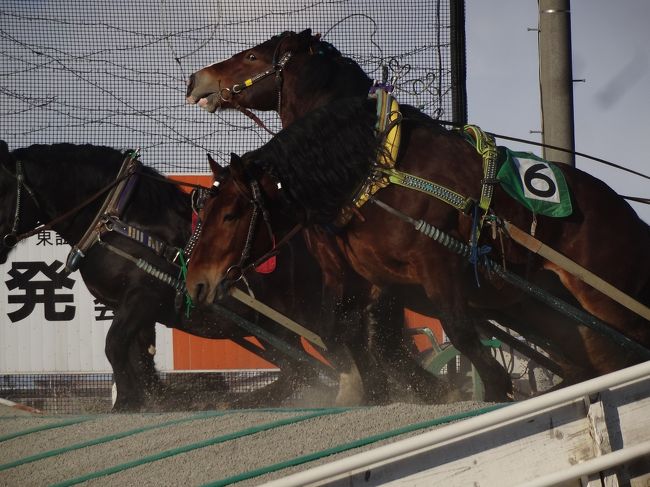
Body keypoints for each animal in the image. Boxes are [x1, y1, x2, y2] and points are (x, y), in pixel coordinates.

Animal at [182, 94, 648, 404]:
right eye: (202, 210)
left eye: (231, 215)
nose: (196, 282)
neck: (377, 177)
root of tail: (628, 216)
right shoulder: (369, 280)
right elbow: (342, 332)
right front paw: (378, 391)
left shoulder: (438, 266)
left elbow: (458, 331)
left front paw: (494, 386)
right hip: (544, 308)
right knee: (596, 358)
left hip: (603, 298)